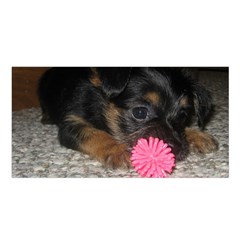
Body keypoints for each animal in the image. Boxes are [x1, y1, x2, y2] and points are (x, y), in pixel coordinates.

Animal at [38, 67, 218, 169]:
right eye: (140, 113)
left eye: (183, 115)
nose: (179, 150)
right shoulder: (71, 124)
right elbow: (95, 134)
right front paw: (116, 150)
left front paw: (197, 135)